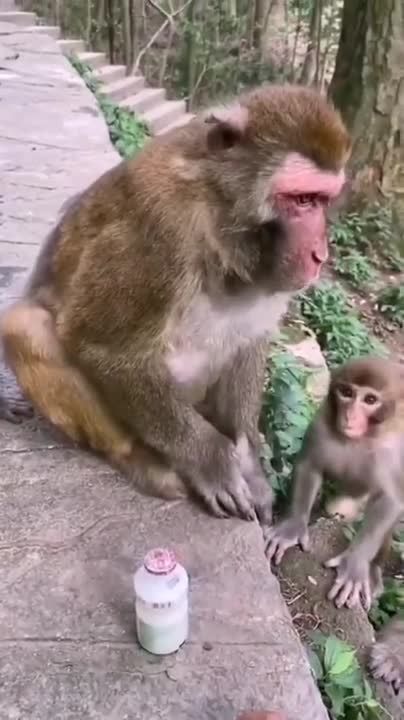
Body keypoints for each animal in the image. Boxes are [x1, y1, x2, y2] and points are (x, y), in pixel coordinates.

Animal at [0, 83, 350, 522]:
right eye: (302, 200)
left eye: (322, 201)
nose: (320, 254)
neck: (219, 215)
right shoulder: (160, 230)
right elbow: (104, 349)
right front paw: (212, 462)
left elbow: (250, 341)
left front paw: (249, 464)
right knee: (24, 326)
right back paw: (143, 461)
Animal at [266, 356, 404, 610]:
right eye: (346, 393)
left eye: (370, 400)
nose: (349, 416)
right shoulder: (321, 422)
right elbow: (310, 465)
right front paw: (292, 527)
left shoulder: (393, 449)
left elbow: (391, 498)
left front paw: (355, 563)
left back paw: (374, 570)